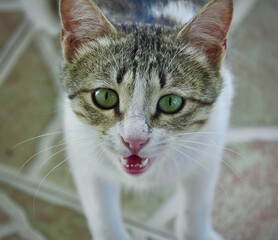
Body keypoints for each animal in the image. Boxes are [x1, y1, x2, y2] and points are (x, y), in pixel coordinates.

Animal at [59, 0, 235, 239]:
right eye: (104, 96)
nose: (134, 140)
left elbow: (197, 205)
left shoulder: (210, 143)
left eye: (171, 102)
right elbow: (101, 216)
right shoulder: (82, 152)